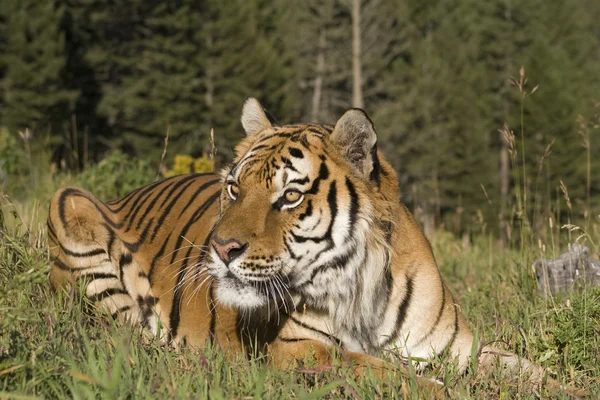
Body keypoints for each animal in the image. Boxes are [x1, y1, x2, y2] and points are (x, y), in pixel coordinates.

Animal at [49, 98, 584, 398]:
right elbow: (393, 375)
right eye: (234, 189)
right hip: (69, 201)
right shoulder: (299, 348)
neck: (366, 291)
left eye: (290, 196)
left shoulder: (456, 347)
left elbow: (529, 371)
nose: (220, 249)